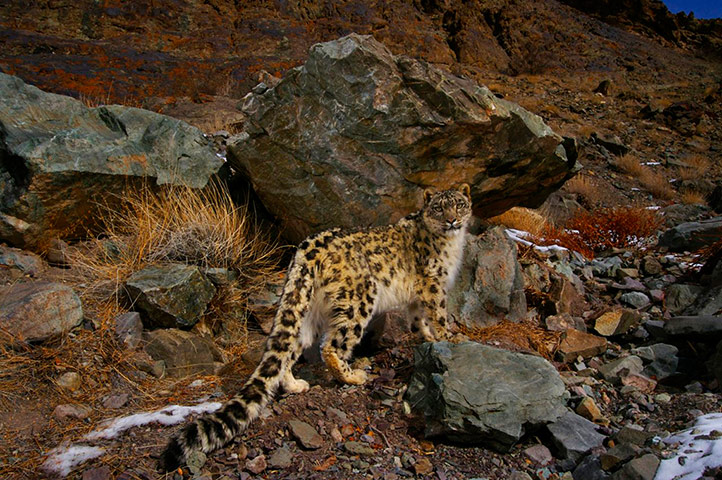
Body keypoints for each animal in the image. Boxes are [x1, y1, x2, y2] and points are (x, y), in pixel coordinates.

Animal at [160, 183, 473, 471]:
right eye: (439, 208)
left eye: (459, 204)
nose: (452, 220)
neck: (451, 245)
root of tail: (306, 249)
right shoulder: (433, 285)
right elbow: (438, 314)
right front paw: (449, 338)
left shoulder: (417, 299)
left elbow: (418, 321)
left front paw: (428, 339)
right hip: (360, 299)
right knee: (331, 346)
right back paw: (353, 376)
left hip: (306, 310)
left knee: (289, 348)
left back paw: (295, 384)